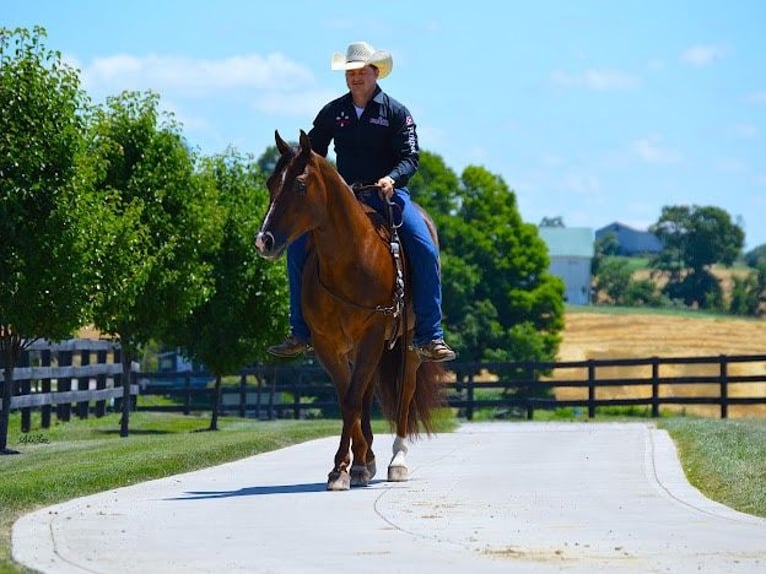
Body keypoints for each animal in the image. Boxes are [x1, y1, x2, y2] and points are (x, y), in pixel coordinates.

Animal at [255, 130, 444, 490]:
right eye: (271, 183)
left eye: (300, 184)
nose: (264, 241)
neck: (350, 258)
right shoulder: (327, 343)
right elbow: (348, 399)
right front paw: (349, 466)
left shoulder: (372, 334)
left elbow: (354, 398)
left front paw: (345, 468)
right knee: (366, 392)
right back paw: (366, 458)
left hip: (408, 344)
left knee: (404, 394)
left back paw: (397, 460)